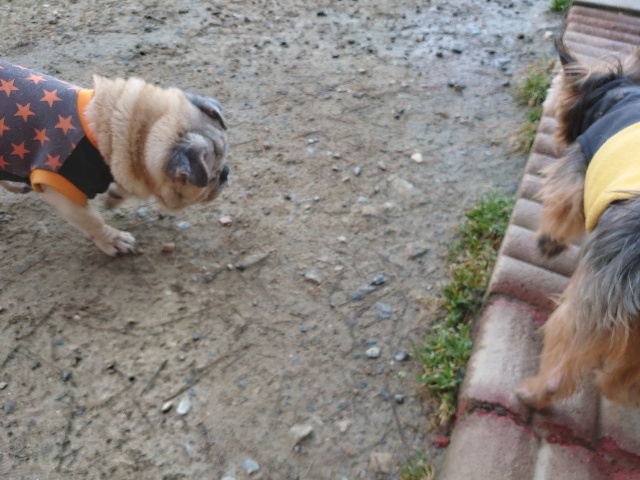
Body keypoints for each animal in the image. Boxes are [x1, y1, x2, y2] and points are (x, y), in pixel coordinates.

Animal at [0, 60, 228, 256]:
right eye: (211, 178)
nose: (225, 174)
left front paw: (115, 194)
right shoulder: (59, 191)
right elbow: (92, 220)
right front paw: (113, 240)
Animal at [515, 40, 640, 409]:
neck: (616, 92)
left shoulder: (574, 177)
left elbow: (561, 212)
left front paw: (548, 241)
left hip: (590, 306)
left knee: (563, 362)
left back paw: (534, 393)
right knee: (627, 381)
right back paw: (610, 383)